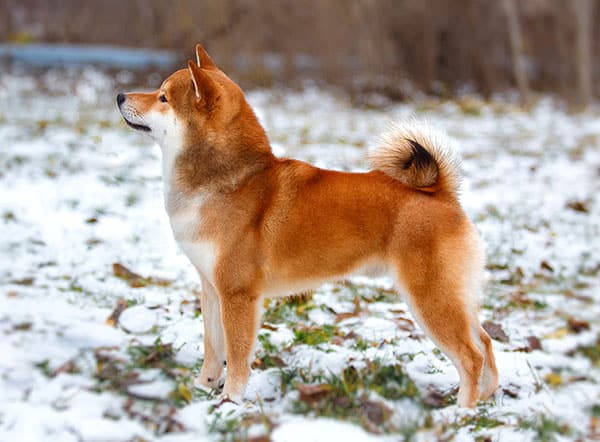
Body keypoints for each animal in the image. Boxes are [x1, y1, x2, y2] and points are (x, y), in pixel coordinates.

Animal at [116, 45, 496, 408]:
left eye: (163, 97)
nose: (120, 96)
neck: (228, 182)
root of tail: (442, 194)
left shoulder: (238, 295)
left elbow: (236, 357)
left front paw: (230, 401)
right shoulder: (211, 289)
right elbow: (213, 349)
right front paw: (202, 388)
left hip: (430, 299)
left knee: (471, 356)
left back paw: (460, 413)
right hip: (453, 296)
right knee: (487, 343)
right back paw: (487, 399)